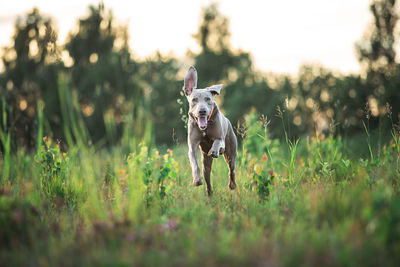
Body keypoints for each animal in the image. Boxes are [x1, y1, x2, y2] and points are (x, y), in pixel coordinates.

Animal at [184, 66, 238, 196]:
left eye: (208, 99)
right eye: (194, 100)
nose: (202, 111)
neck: (205, 127)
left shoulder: (221, 140)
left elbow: (217, 141)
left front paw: (214, 150)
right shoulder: (192, 146)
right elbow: (194, 163)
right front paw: (196, 180)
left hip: (231, 151)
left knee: (231, 169)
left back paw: (232, 185)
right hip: (206, 164)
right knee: (207, 178)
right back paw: (209, 193)